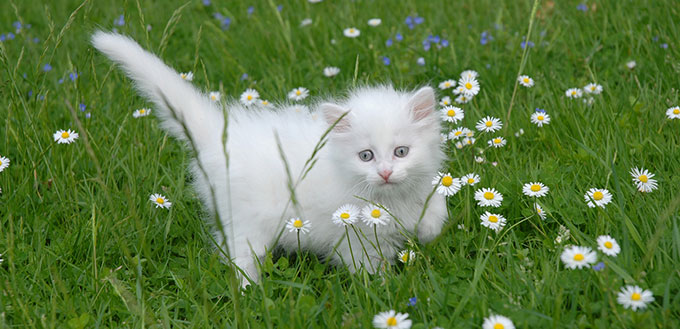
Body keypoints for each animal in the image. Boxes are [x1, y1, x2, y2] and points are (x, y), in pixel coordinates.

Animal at [93, 30, 448, 284]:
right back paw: (250, 293)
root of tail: (221, 136)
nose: (385, 172)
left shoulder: (420, 189)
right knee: (238, 258)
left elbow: (435, 210)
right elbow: (368, 267)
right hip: (247, 224)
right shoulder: (352, 236)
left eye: (401, 152)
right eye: (366, 156)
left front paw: (427, 230)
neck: (387, 200)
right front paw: (384, 291)